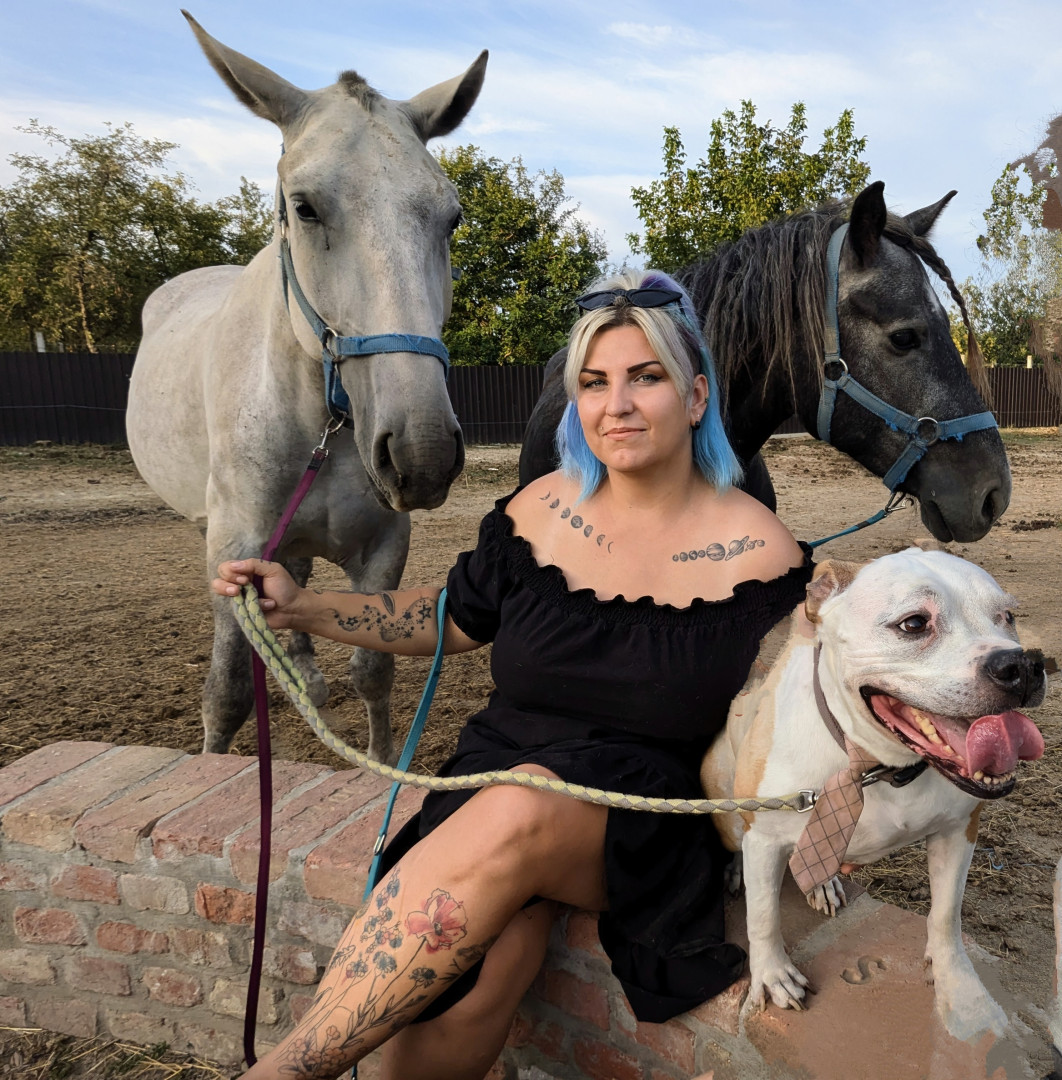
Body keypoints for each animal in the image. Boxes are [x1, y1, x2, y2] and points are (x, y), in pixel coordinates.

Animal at [126, 13, 487, 763]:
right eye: (305, 206)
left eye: (452, 216)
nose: (422, 453)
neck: (318, 424)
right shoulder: (232, 550)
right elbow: (228, 694)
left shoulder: (383, 547)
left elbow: (373, 669)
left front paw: (378, 766)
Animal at [702, 548, 1046, 1040]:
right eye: (914, 623)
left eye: (1008, 616)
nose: (1023, 666)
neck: (874, 767)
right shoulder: (764, 839)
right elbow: (763, 916)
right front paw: (772, 976)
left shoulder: (958, 831)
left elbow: (947, 914)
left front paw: (959, 988)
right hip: (729, 809)